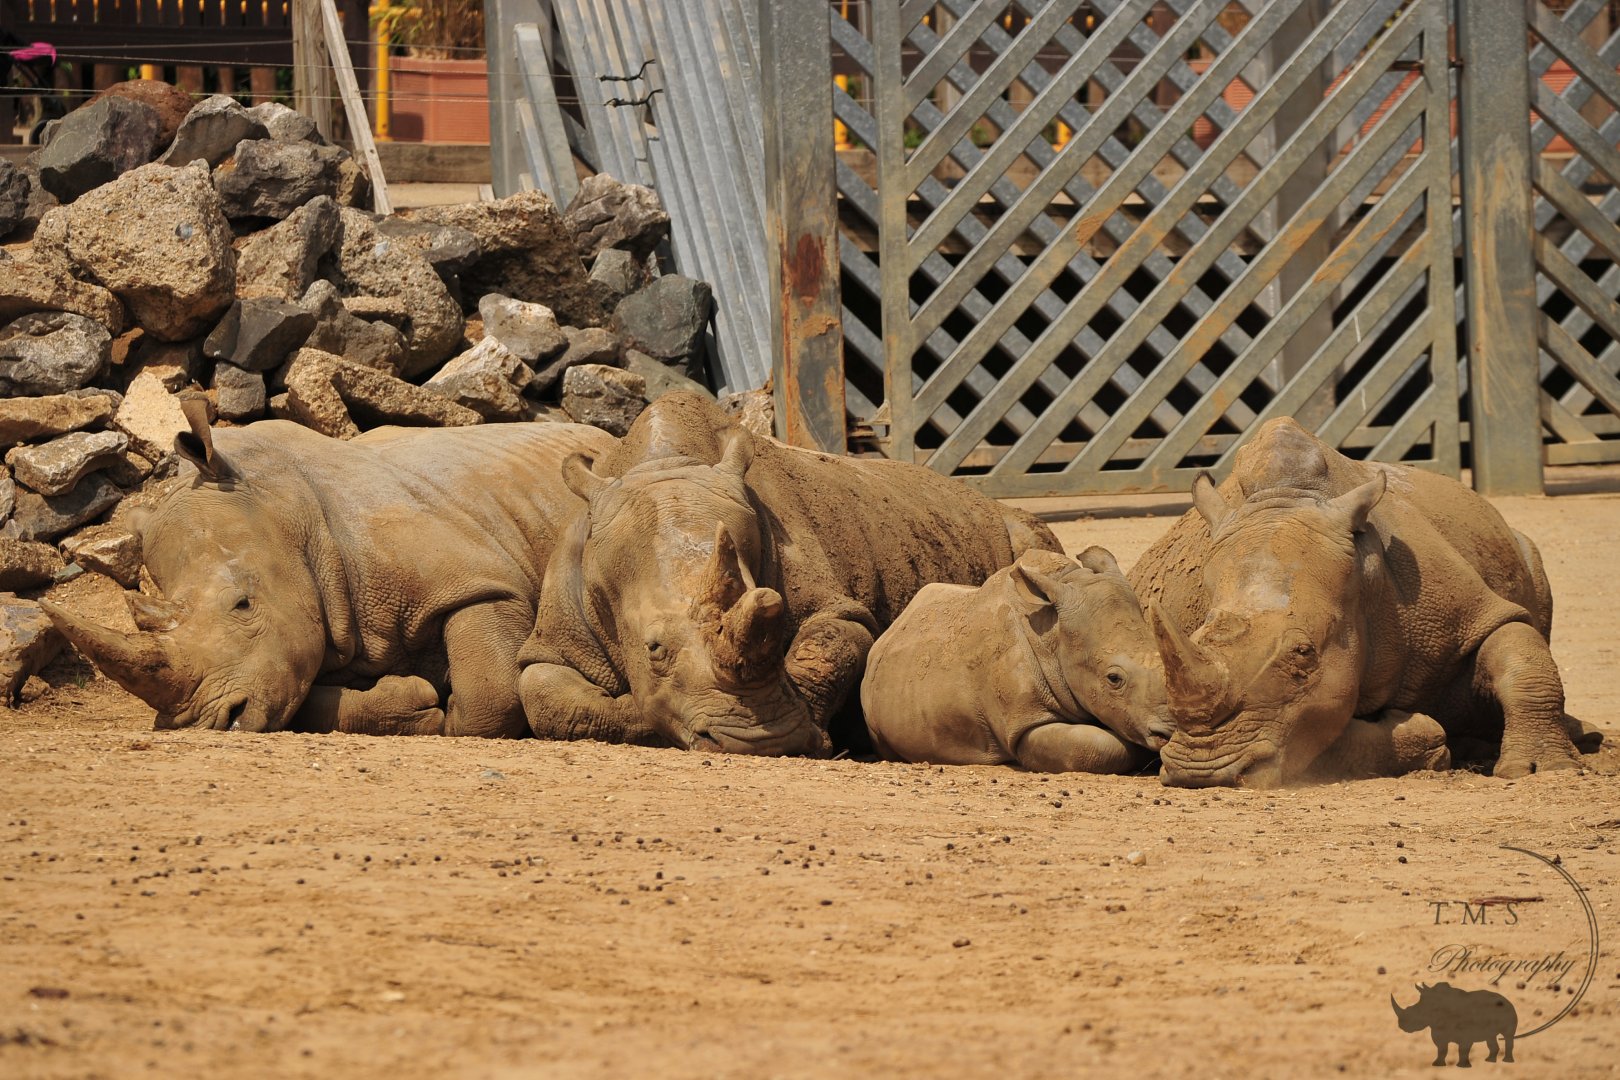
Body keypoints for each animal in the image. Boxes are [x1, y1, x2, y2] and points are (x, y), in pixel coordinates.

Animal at [43, 407, 615, 736]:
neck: (290, 514)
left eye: (243, 603)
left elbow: (487, 697)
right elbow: (302, 695)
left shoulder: (478, 581)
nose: (209, 723)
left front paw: (441, 707)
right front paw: (411, 702)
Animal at [517, 392, 1062, 755]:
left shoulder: (834, 603)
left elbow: (832, 644)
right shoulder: (557, 632)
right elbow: (543, 693)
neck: (667, 463)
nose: (758, 742)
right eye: (654, 649)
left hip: (1004, 522)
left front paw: (813, 735)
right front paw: (644, 712)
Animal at [860, 546, 1170, 772]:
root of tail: (891, 630)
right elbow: (1099, 747)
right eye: (1113, 678)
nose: (1169, 732)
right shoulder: (1024, 723)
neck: (1053, 636)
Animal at [1130, 417, 1595, 787]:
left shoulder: (1473, 612)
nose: (1203, 771)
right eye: (1195, 637)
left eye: (1304, 653)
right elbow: (1324, 737)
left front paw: (1542, 771)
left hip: (1518, 544)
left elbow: (1519, 652)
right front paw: (1425, 737)